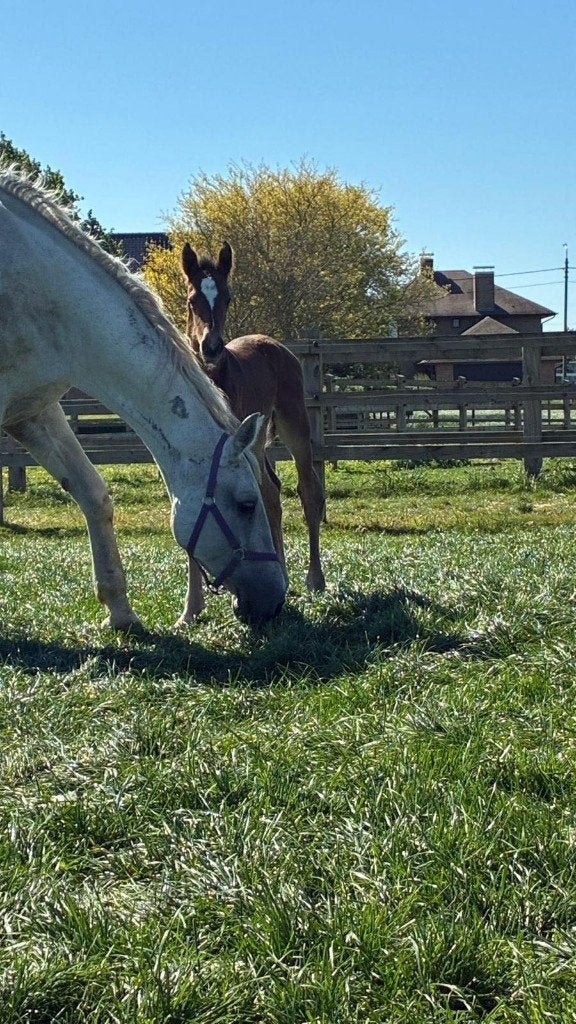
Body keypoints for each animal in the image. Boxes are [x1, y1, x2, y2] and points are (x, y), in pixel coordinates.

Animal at [179, 241, 325, 623]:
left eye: (227, 298)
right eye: (192, 299)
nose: (211, 347)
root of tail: (272, 342)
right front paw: (190, 609)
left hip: (293, 423)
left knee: (306, 491)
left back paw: (314, 579)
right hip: (258, 441)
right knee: (271, 491)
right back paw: (284, 575)